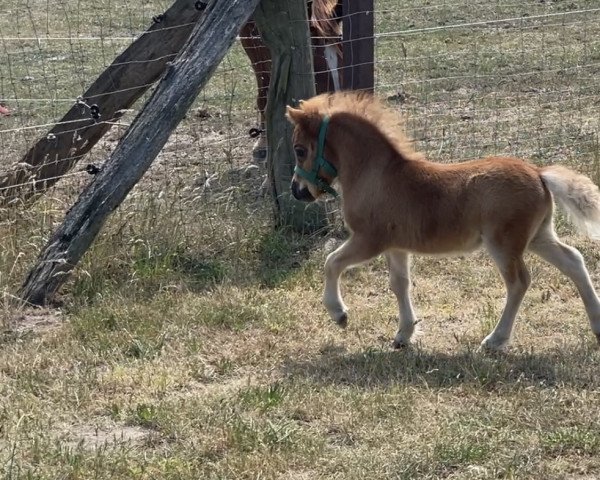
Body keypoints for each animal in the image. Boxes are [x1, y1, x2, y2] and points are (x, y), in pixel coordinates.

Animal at [284, 92, 600, 350]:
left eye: (299, 149)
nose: (298, 191)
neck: (376, 174)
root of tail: (538, 173)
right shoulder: (396, 246)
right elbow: (399, 284)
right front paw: (404, 335)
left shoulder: (369, 240)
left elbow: (332, 263)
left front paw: (339, 314)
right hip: (538, 237)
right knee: (573, 260)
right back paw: (596, 326)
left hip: (504, 243)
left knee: (519, 282)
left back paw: (495, 340)